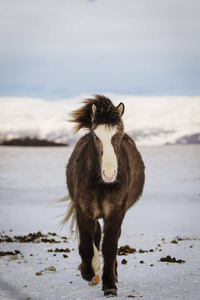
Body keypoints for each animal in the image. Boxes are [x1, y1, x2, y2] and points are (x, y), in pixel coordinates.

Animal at [65, 95, 145, 296]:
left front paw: (109, 284)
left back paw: (113, 274)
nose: (109, 174)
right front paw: (88, 273)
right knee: (95, 235)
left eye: (119, 135)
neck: (102, 186)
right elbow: (86, 245)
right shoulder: (83, 211)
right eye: (95, 136)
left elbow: (109, 246)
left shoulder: (115, 213)